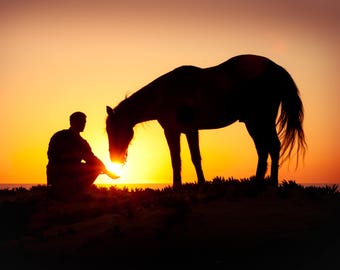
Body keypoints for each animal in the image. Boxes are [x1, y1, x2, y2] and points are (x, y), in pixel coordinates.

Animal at [105, 54, 306, 188]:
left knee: (273, 146)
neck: (165, 93)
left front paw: (194, 185)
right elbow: (181, 159)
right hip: (253, 122)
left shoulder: (184, 130)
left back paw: (272, 184)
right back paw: (258, 183)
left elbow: (190, 158)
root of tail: (276, 68)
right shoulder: (178, 130)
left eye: (116, 129)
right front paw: (183, 186)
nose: (114, 158)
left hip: (261, 119)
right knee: (263, 149)